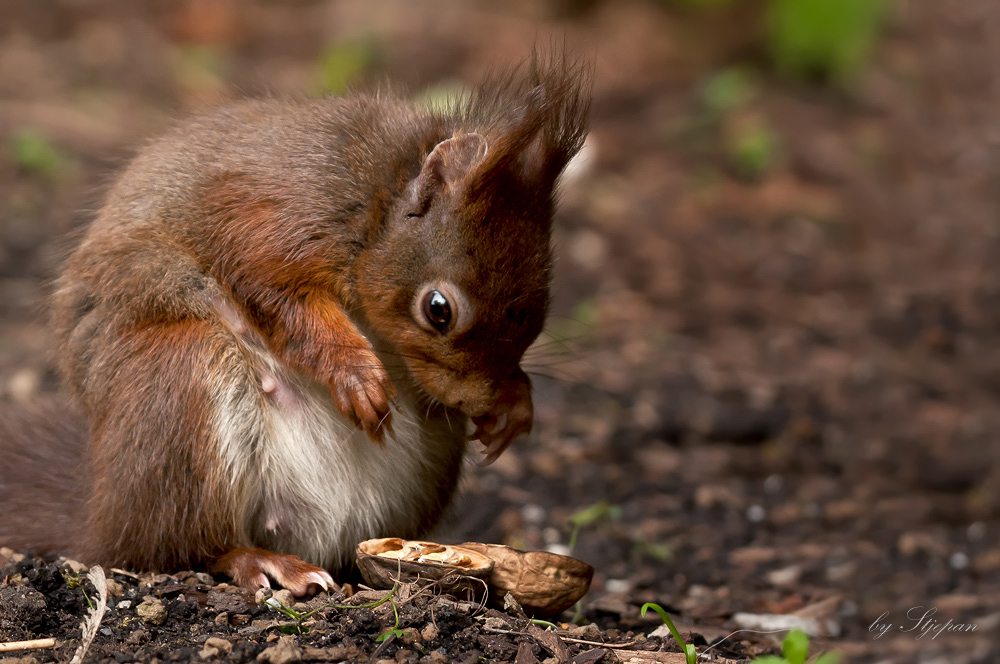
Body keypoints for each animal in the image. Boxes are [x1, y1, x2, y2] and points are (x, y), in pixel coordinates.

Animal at [0, 58, 584, 596]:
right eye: (438, 309)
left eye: (541, 307)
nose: (475, 401)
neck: (380, 195)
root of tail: (103, 517)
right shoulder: (272, 215)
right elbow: (277, 294)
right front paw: (355, 375)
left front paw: (514, 404)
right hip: (184, 382)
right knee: (176, 547)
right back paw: (258, 560)